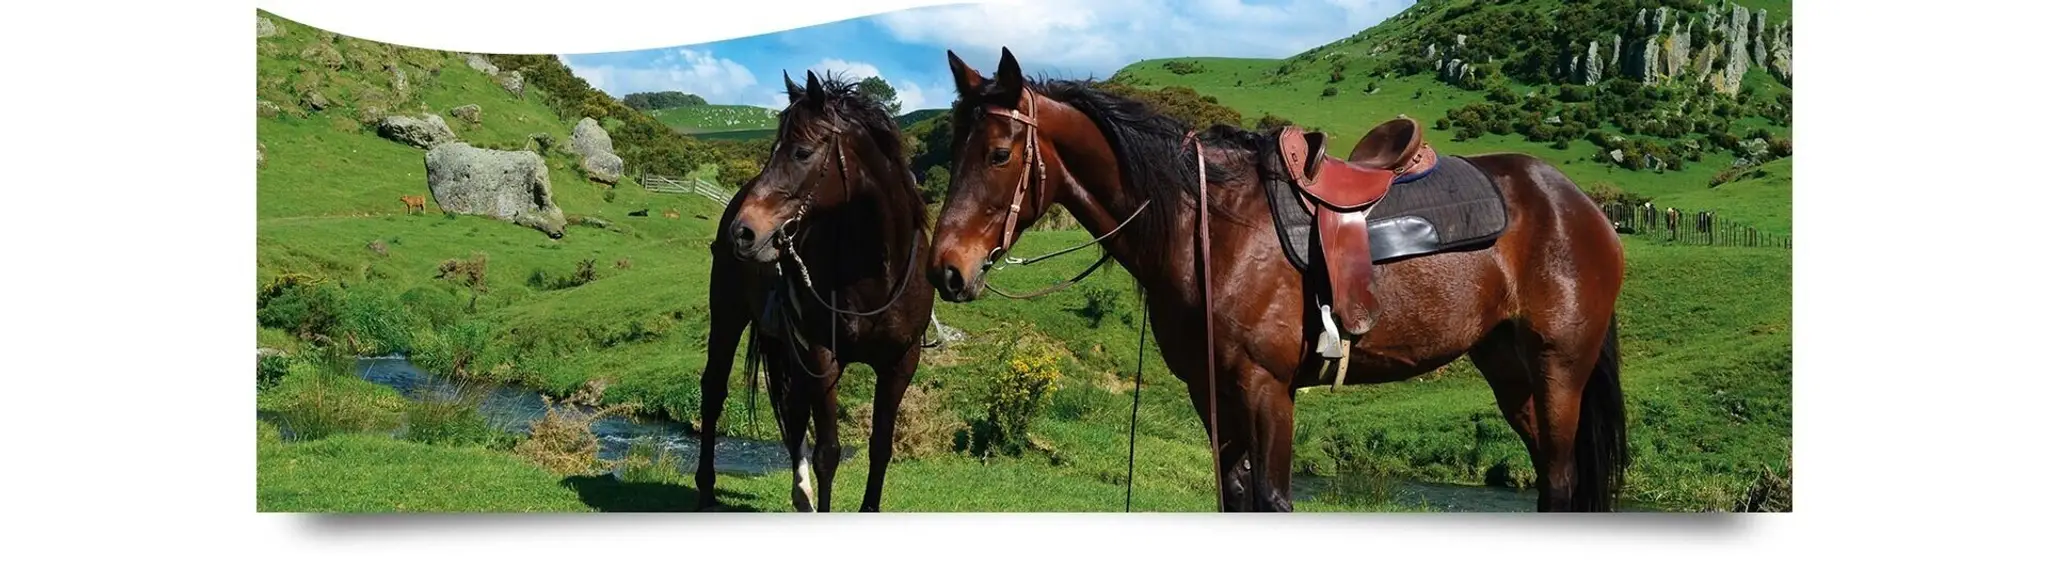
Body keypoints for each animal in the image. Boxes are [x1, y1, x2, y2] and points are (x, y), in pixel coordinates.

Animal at [696, 70, 935, 512]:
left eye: (802, 152)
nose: (743, 232)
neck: (876, 270)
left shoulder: (899, 363)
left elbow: (881, 447)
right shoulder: (824, 356)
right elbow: (829, 453)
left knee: (792, 408)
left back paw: (800, 493)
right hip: (728, 317)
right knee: (714, 391)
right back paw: (705, 488)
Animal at [925, 48, 1628, 512]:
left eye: (998, 154)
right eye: (952, 151)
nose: (946, 271)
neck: (1209, 227)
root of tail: (1582, 206)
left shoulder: (1267, 390)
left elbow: (1272, 499)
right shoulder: (1211, 394)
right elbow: (1234, 495)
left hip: (1559, 369)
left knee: (1560, 484)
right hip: (1511, 372)